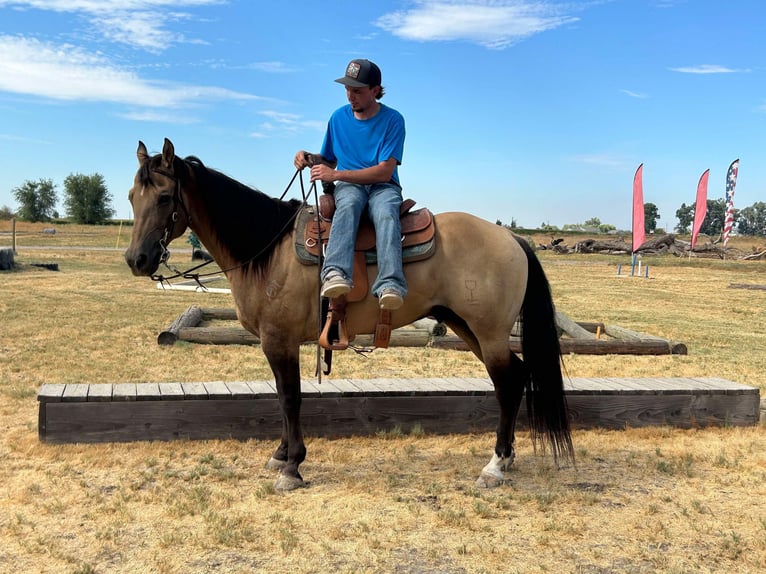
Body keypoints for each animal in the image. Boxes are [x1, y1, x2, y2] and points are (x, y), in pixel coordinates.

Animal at [126, 138, 572, 490]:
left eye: (164, 197)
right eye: (132, 197)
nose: (136, 259)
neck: (267, 251)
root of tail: (512, 238)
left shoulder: (280, 340)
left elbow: (290, 398)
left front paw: (292, 466)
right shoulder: (276, 342)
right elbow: (282, 397)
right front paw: (281, 454)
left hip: (489, 332)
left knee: (508, 383)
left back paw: (494, 465)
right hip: (467, 327)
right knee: (514, 378)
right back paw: (505, 459)